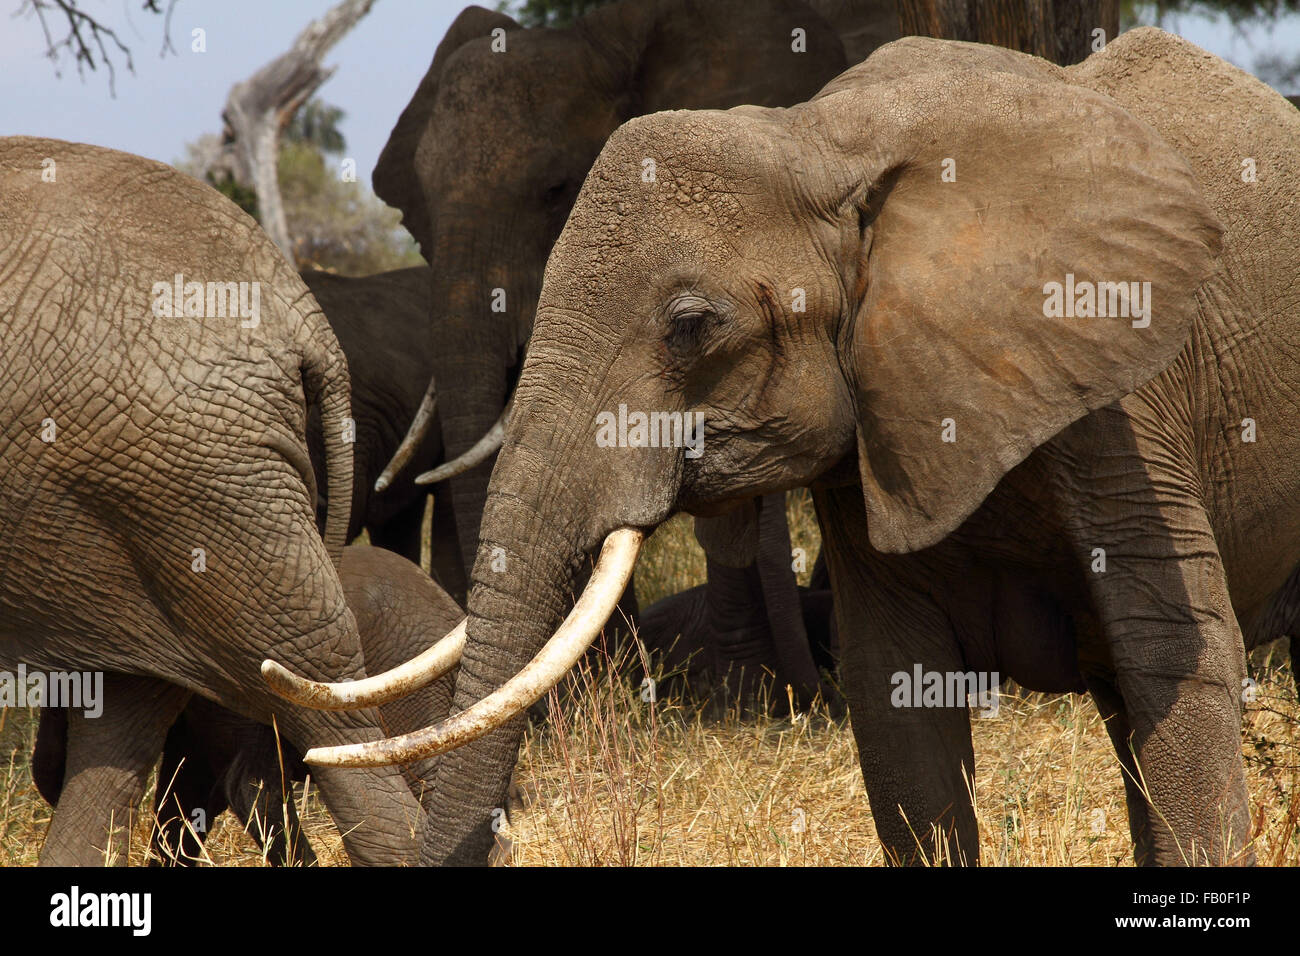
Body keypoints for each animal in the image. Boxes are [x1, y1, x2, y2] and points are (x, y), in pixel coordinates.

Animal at [274, 27, 1300, 868]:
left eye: (691, 327)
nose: (507, 836)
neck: (818, 141)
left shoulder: (1121, 401)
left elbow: (1176, 657)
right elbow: (898, 706)